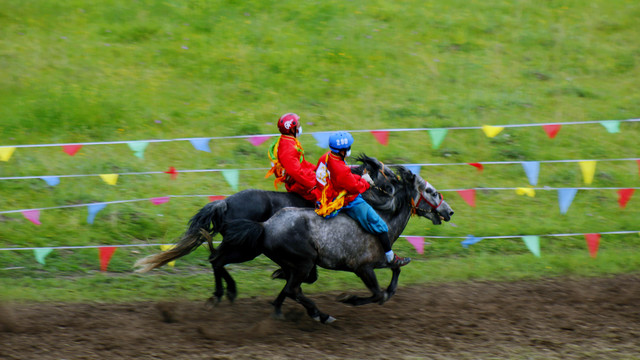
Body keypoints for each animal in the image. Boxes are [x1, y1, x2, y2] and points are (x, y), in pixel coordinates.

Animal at [222, 156, 452, 324]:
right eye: (430, 191)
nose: (449, 211)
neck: (384, 219)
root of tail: (265, 226)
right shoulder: (363, 268)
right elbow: (378, 294)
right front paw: (349, 299)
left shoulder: (380, 262)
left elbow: (395, 272)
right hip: (303, 263)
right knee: (293, 289)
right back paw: (321, 315)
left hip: (293, 265)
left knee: (290, 288)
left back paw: (280, 308)